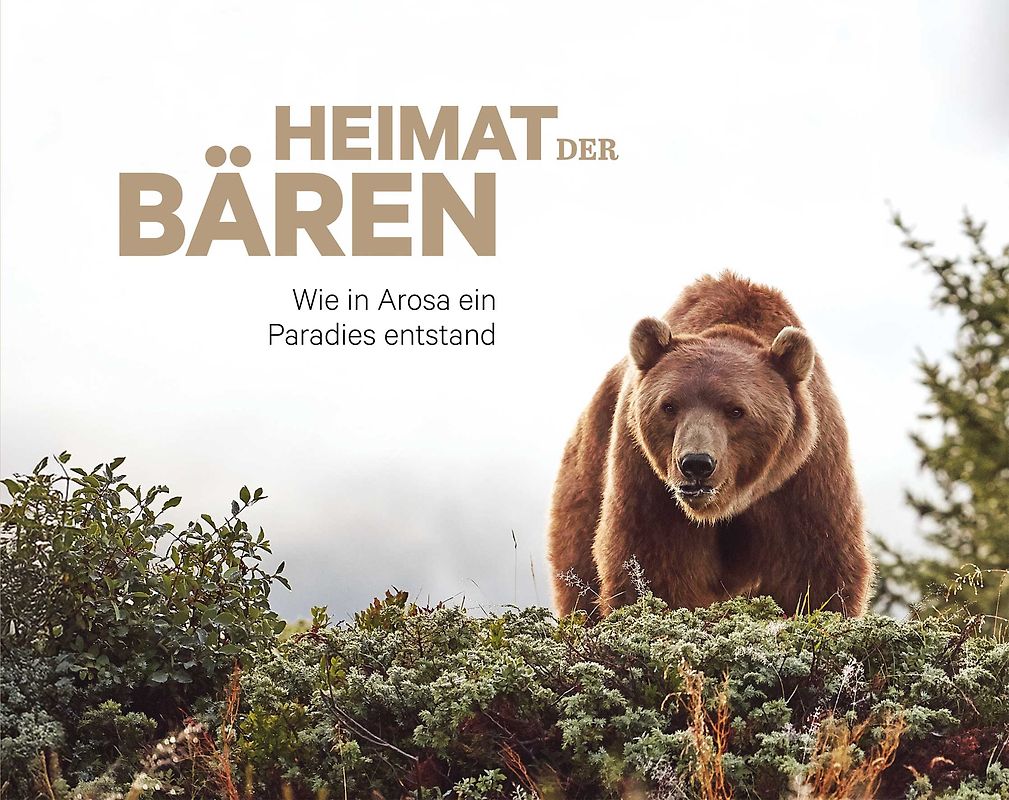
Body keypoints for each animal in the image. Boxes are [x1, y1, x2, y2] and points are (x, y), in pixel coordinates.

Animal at [547, 272, 872, 618]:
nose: (696, 464)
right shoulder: (648, 480)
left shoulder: (805, 476)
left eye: (736, 410)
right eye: (669, 405)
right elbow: (654, 563)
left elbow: (814, 569)